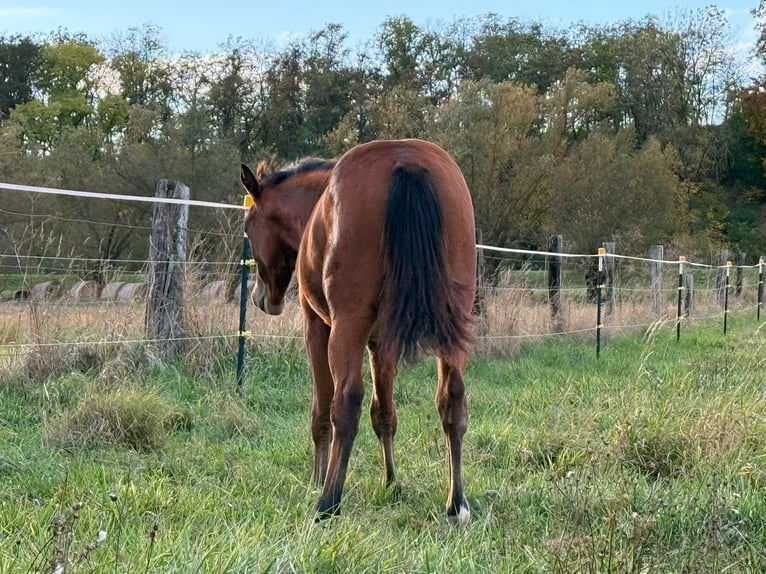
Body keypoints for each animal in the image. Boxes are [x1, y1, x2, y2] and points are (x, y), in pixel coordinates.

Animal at [240, 138, 477, 524]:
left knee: (346, 401)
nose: (261, 300)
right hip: (452, 329)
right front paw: (392, 483)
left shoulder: (317, 326)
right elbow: (385, 413)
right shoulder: (382, 343)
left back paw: (328, 502)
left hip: (346, 329)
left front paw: (317, 479)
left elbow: (322, 408)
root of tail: (406, 161)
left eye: (248, 228)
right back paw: (456, 504)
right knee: (452, 401)